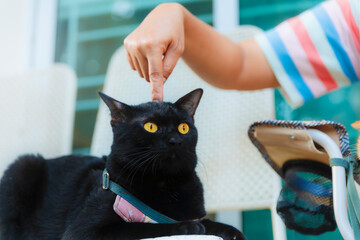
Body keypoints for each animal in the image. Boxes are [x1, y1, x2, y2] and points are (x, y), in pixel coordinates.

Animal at [0, 89, 245, 240]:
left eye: (183, 127)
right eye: (150, 127)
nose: (175, 140)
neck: (166, 185)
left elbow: (208, 223)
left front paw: (231, 231)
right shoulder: (83, 231)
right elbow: (137, 227)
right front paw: (185, 227)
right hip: (23, 166)